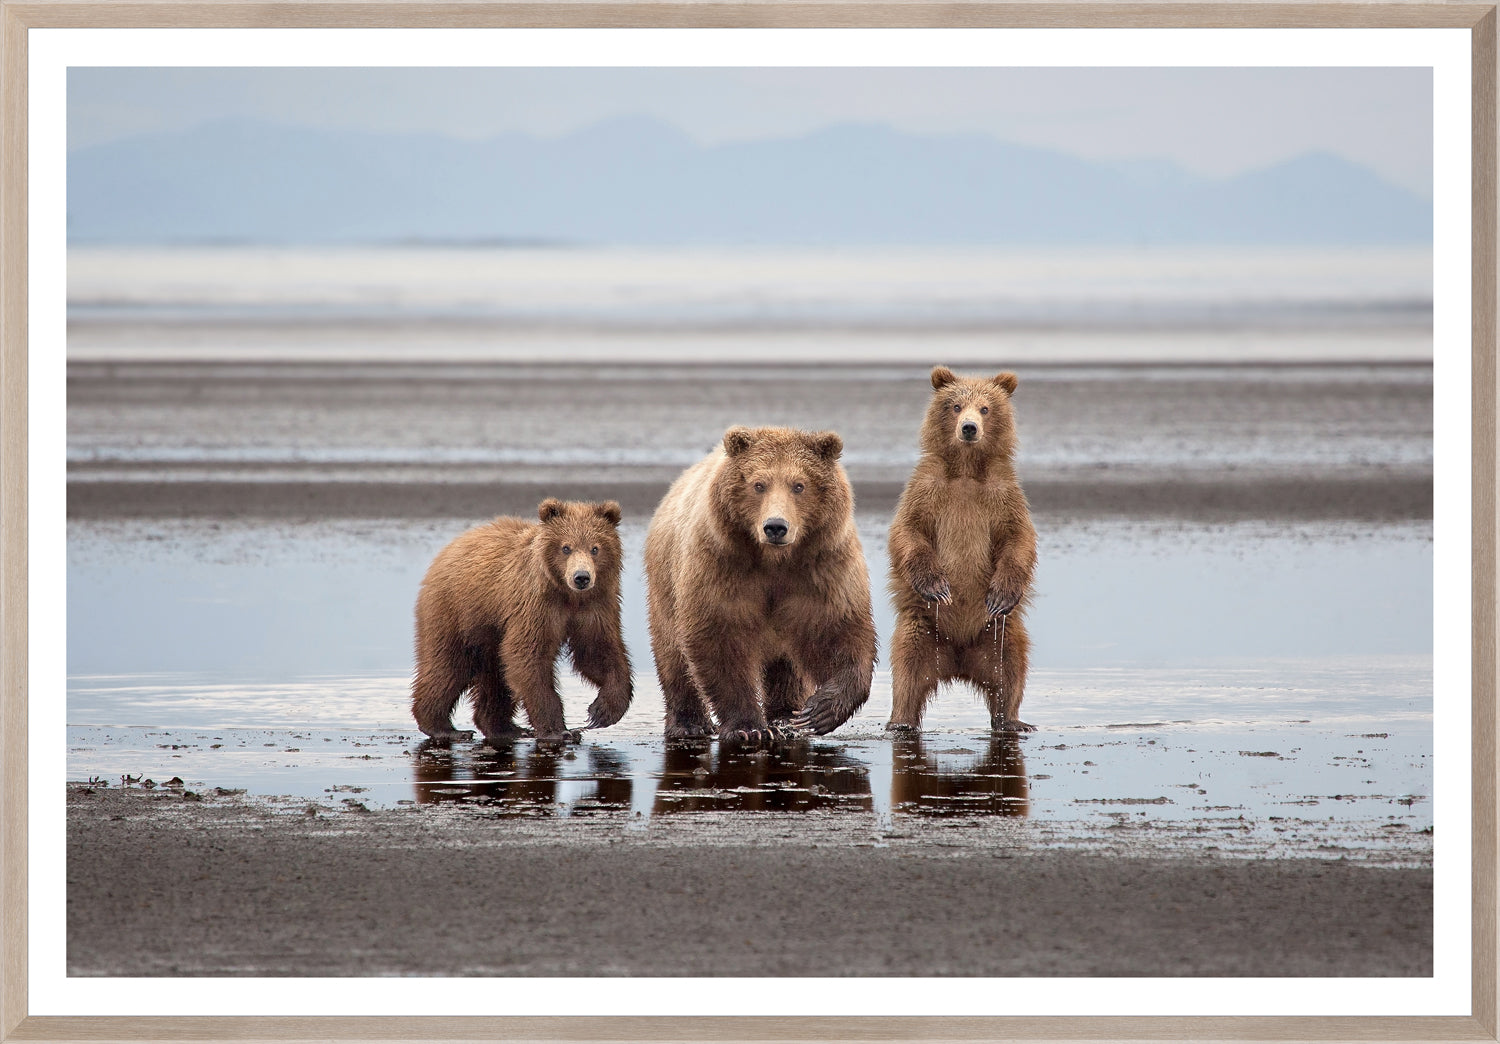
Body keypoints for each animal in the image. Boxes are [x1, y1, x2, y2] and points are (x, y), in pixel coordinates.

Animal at [411, 498, 633, 747]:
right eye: (566, 547)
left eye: (595, 548)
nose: (581, 577)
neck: (567, 595)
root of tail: (450, 547)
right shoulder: (535, 606)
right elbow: (528, 656)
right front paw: (559, 730)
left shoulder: (595, 607)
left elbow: (598, 652)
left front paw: (603, 710)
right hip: (456, 612)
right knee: (448, 665)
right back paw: (445, 728)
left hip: (490, 631)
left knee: (495, 677)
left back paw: (505, 728)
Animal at [644, 426, 877, 745]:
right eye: (758, 484)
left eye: (799, 485)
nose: (776, 526)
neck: (774, 561)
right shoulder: (721, 566)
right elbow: (720, 637)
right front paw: (748, 727)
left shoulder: (821, 568)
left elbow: (838, 630)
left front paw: (819, 711)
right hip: (666, 583)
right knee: (673, 656)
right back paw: (688, 724)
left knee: (787, 666)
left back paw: (786, 716)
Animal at [886, 366, 1037, 733]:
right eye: (955, 406)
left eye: (985, 408)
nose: (969, 428)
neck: (967, 469)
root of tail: (957, 661)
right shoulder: (927, 490)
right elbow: (908, 532)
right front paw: (937, 586)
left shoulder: (1003, 495)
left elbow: (1019, 539)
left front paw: (1001, 594)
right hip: (922, 627)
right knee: (907, 670)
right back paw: (901, 722)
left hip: (997, 633)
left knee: (1011, 668)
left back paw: (1012, 721)